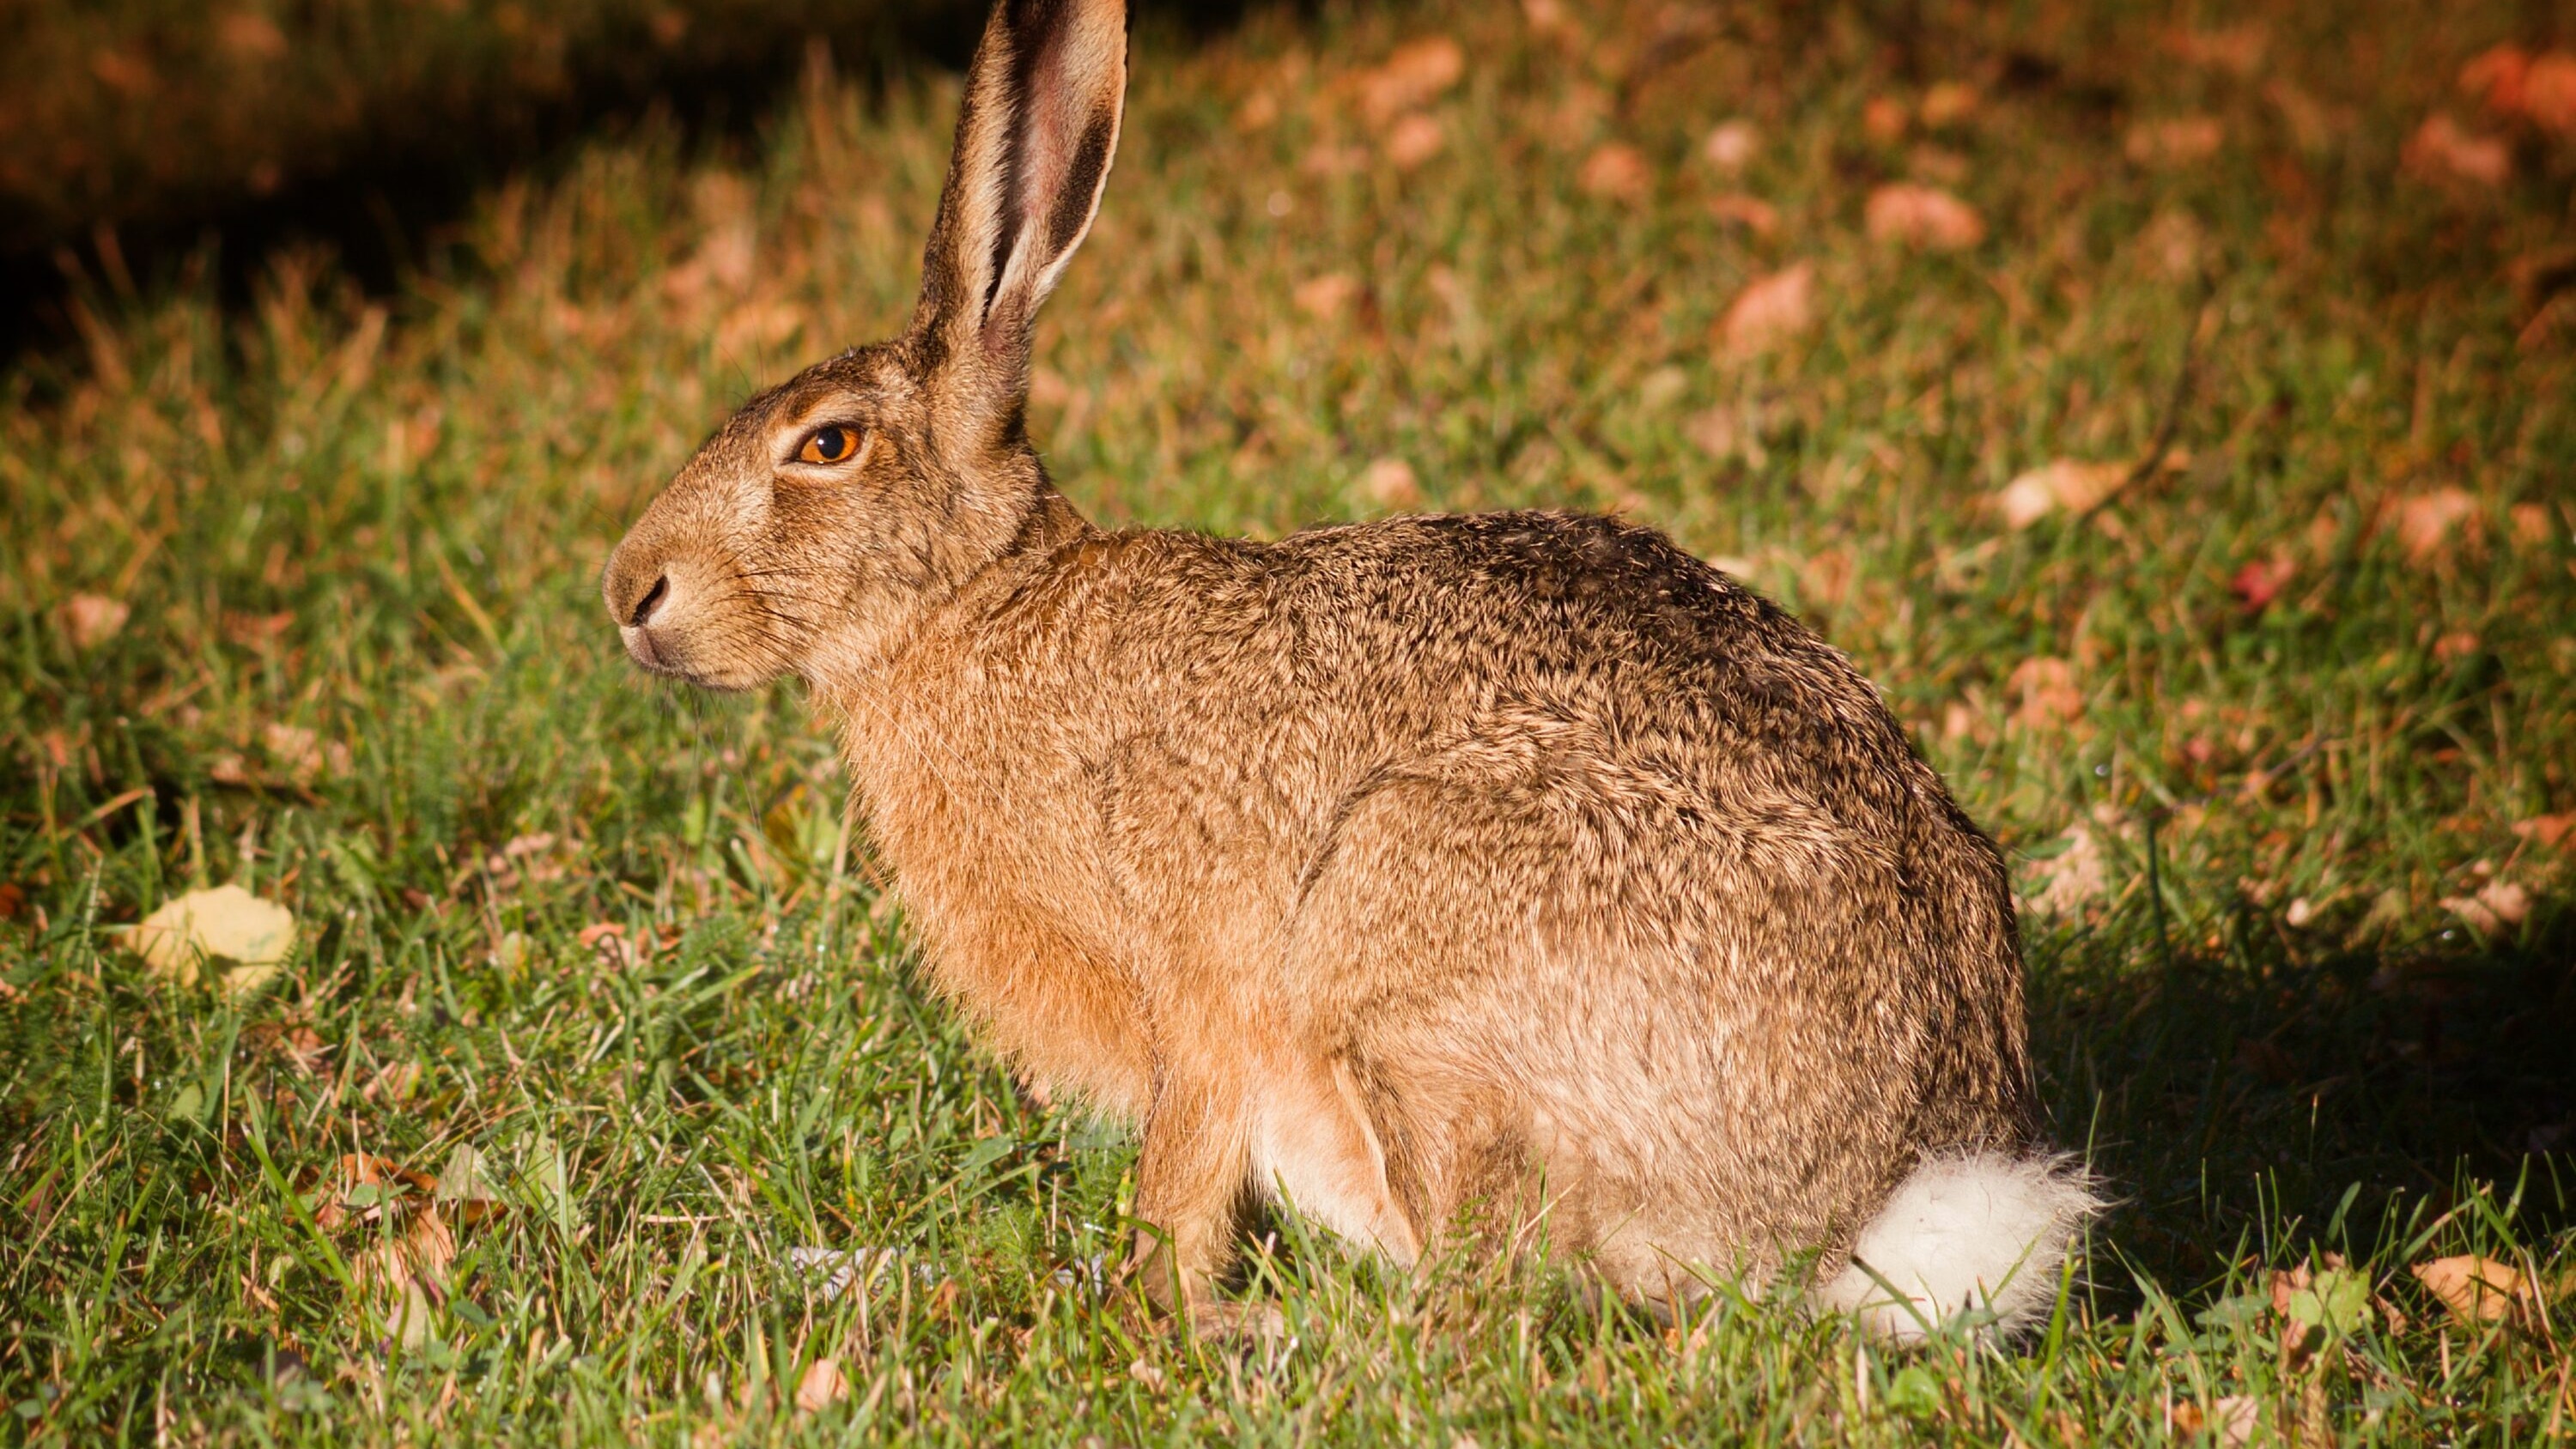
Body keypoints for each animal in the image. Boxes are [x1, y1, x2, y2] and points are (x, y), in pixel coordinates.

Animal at [602, 0, 2098, 1341]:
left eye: (828, 446)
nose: (630, 594)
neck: (977, 601)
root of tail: (1869, 1207)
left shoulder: (1198, 993)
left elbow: (1180, 1189)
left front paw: (1140, 1305)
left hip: (1408, 951)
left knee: (1474, 1302)